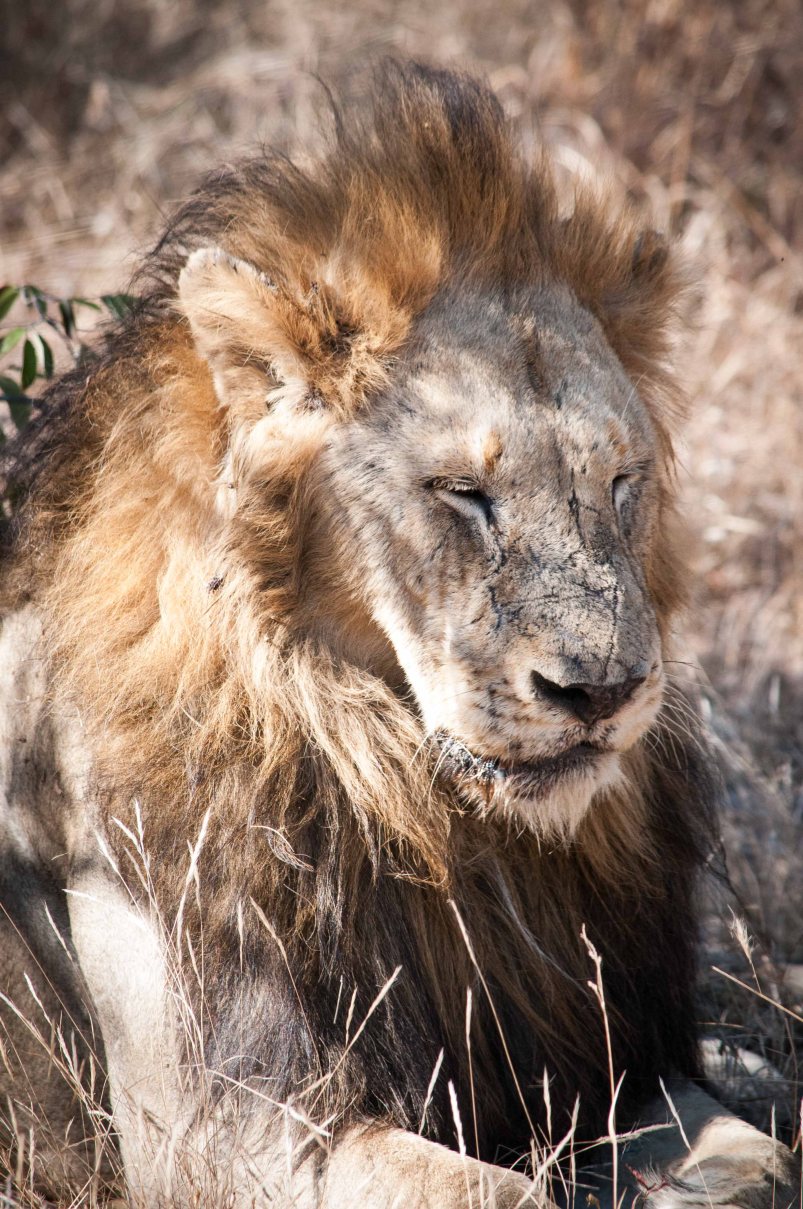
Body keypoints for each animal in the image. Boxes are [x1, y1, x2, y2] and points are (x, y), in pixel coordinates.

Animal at [0, 63, 796, 1207]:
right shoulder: (230, 1127)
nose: (600, 692)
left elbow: (762, 1161)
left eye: (618, 481)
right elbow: (502, 1191)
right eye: (463, 493)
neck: (413, 798)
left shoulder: (615, 1066)